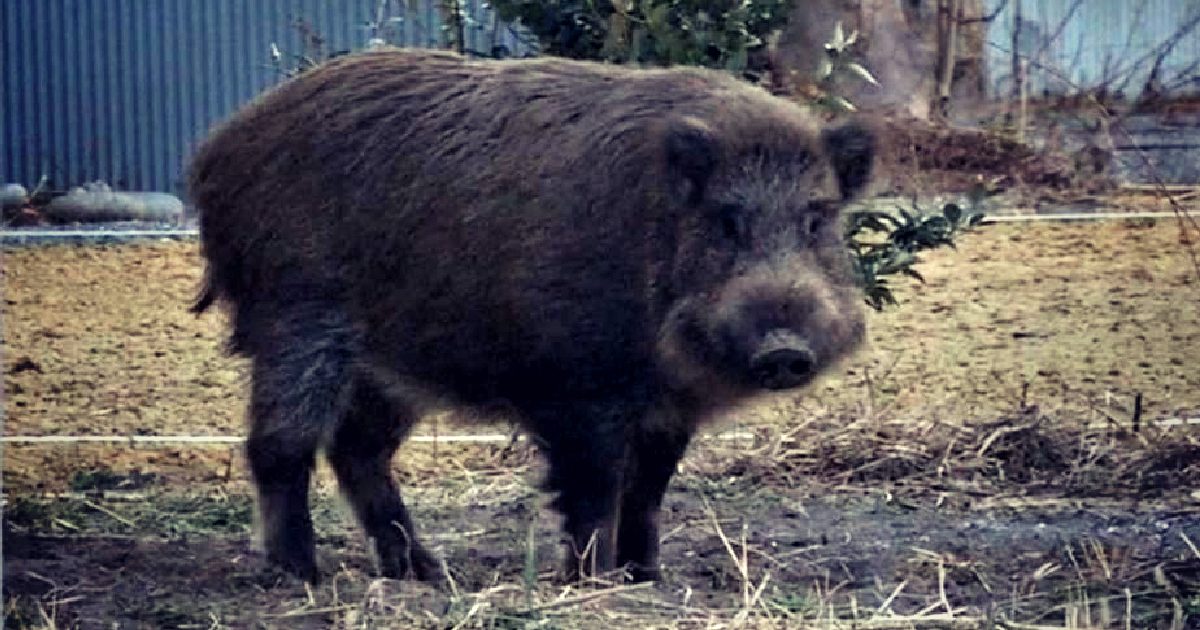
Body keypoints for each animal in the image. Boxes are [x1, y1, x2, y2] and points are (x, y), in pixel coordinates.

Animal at [187, 48, 874, 585]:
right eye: (727, 221)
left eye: (817, 219)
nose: (784, 350)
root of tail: (215, 150)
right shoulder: (580, 386)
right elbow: (596, 488)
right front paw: (593, 584)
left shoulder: (667, 410)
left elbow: (648, 490)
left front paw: (649, 578)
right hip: (297, 315)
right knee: (280, 444)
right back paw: (303, 576)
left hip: (388, 365)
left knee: (357, 449)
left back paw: (425, 574)